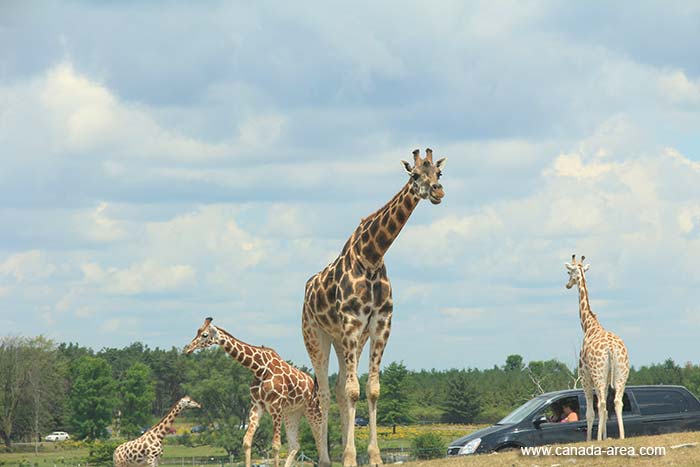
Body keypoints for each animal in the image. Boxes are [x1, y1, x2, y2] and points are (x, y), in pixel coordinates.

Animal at [184, 317, 330, 467]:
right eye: (197, 331)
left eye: (205, 335)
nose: (187, 348)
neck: (260, 369)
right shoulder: (256, 406)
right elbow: (247, 441)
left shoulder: (276, 407)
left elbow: (276, 445)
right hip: (292, 413)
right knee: (295, 445)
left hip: (313, 411)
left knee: (320, 442)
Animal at [302, 148, 447, 466]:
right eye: (414, 175)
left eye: (439, 173)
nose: (438, 191)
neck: (372, 256)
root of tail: (307, 291)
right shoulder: (351, 323)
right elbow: (353, 391)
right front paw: (349, 458)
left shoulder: (380, 325)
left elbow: (371, 390)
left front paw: (373, 456)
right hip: (316, 336)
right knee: (326, 392)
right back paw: (326, 459)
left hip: (344, 341)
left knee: (339, 389)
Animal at [565, 254, 630, 441]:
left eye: (569, 272)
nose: (567, 284)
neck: (589, 326)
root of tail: (611, 348)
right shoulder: (608, 377)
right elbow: (607, 410)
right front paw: (604, 436)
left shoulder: (584, 374)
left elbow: (590, 412)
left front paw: (591, 439)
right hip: (622, 372)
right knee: (617, 401)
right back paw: (622, 436)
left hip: (597, 373)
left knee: (600, 403)